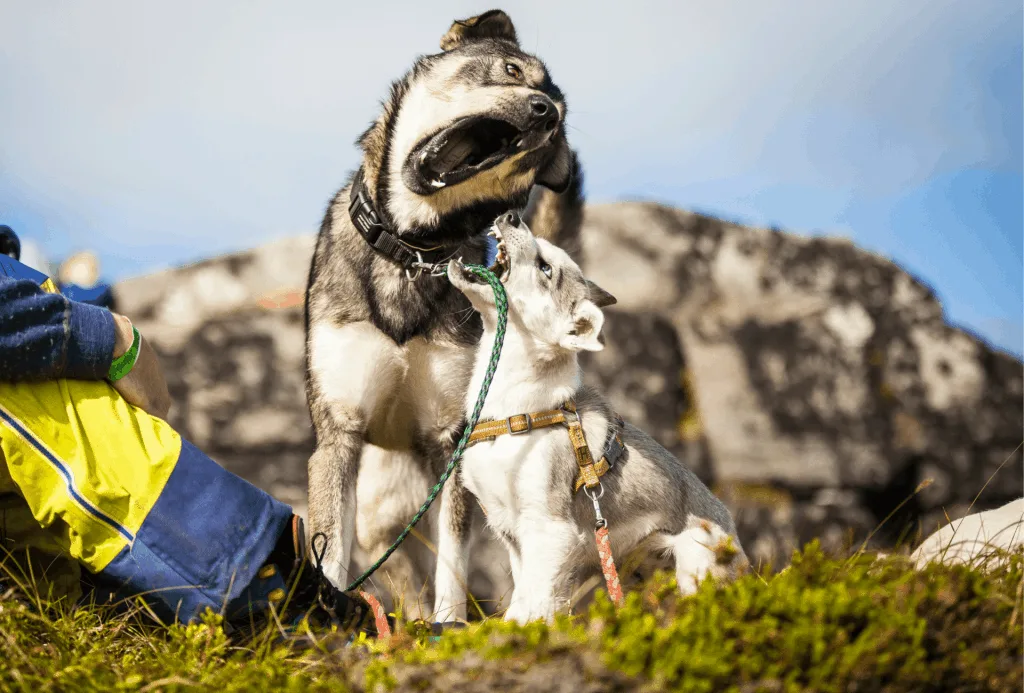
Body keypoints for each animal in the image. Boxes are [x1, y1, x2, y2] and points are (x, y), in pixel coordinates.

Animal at [303, 8, 585, 618]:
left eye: (554, 131)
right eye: (512, 70)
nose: (544, 113)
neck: (411, 249)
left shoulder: (450, 440)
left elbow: (452, 563)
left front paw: (449, 624)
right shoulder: (339, 434)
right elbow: (331, 554)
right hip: (381, 511)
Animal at [444, 210, 749, 622]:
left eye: (545, 268)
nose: (511, 215)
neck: (515, 411)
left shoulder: (550, 531)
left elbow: (535, 602)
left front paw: (520, 631)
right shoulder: (511, 532)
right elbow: (526, 594)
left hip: (696, 553)